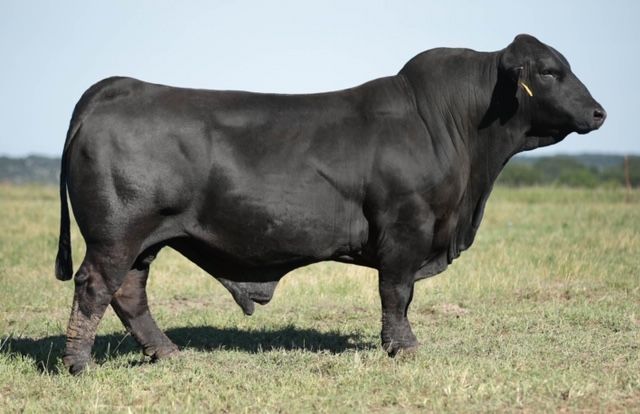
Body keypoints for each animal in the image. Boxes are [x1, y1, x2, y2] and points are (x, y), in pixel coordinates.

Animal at [55, 34, 605, 374]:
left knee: (129, 294)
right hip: (118, 233)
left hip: (142, 239)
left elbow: (401, 294)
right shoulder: (406, 227)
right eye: (551, 71)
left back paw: (167, 353)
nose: (599, 112)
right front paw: (403, 347)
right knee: (95, 287)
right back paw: (79, 364)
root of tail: (119, 87)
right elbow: (396, 293)